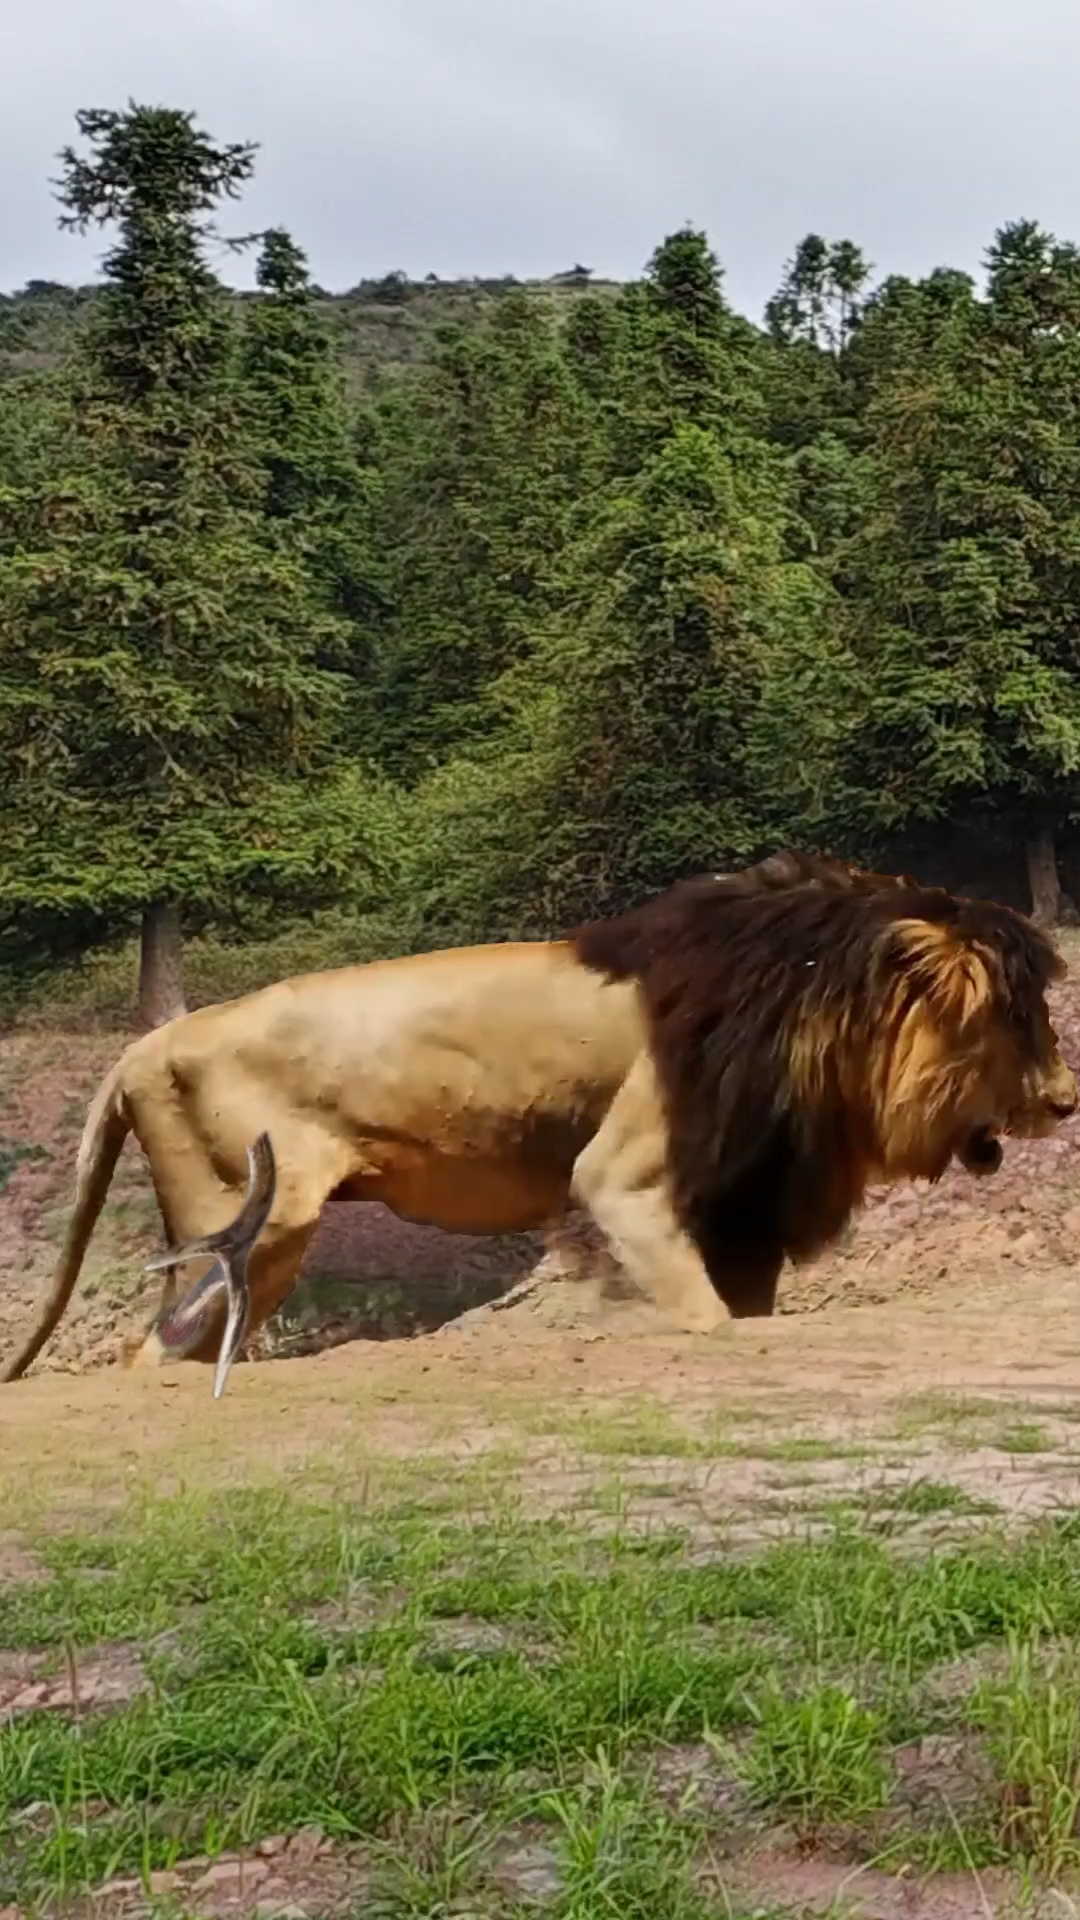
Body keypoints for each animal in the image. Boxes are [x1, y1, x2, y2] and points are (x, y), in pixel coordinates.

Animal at [2, 852, 1068, 1382]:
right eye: (1018, 1022)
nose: (1066, 1099)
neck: (823, 1007)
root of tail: (143, 1047)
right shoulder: (629, 1173)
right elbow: (702, 1312)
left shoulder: (746, 1207)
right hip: (251, 1214)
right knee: (153, 1347)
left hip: (261, 1253)